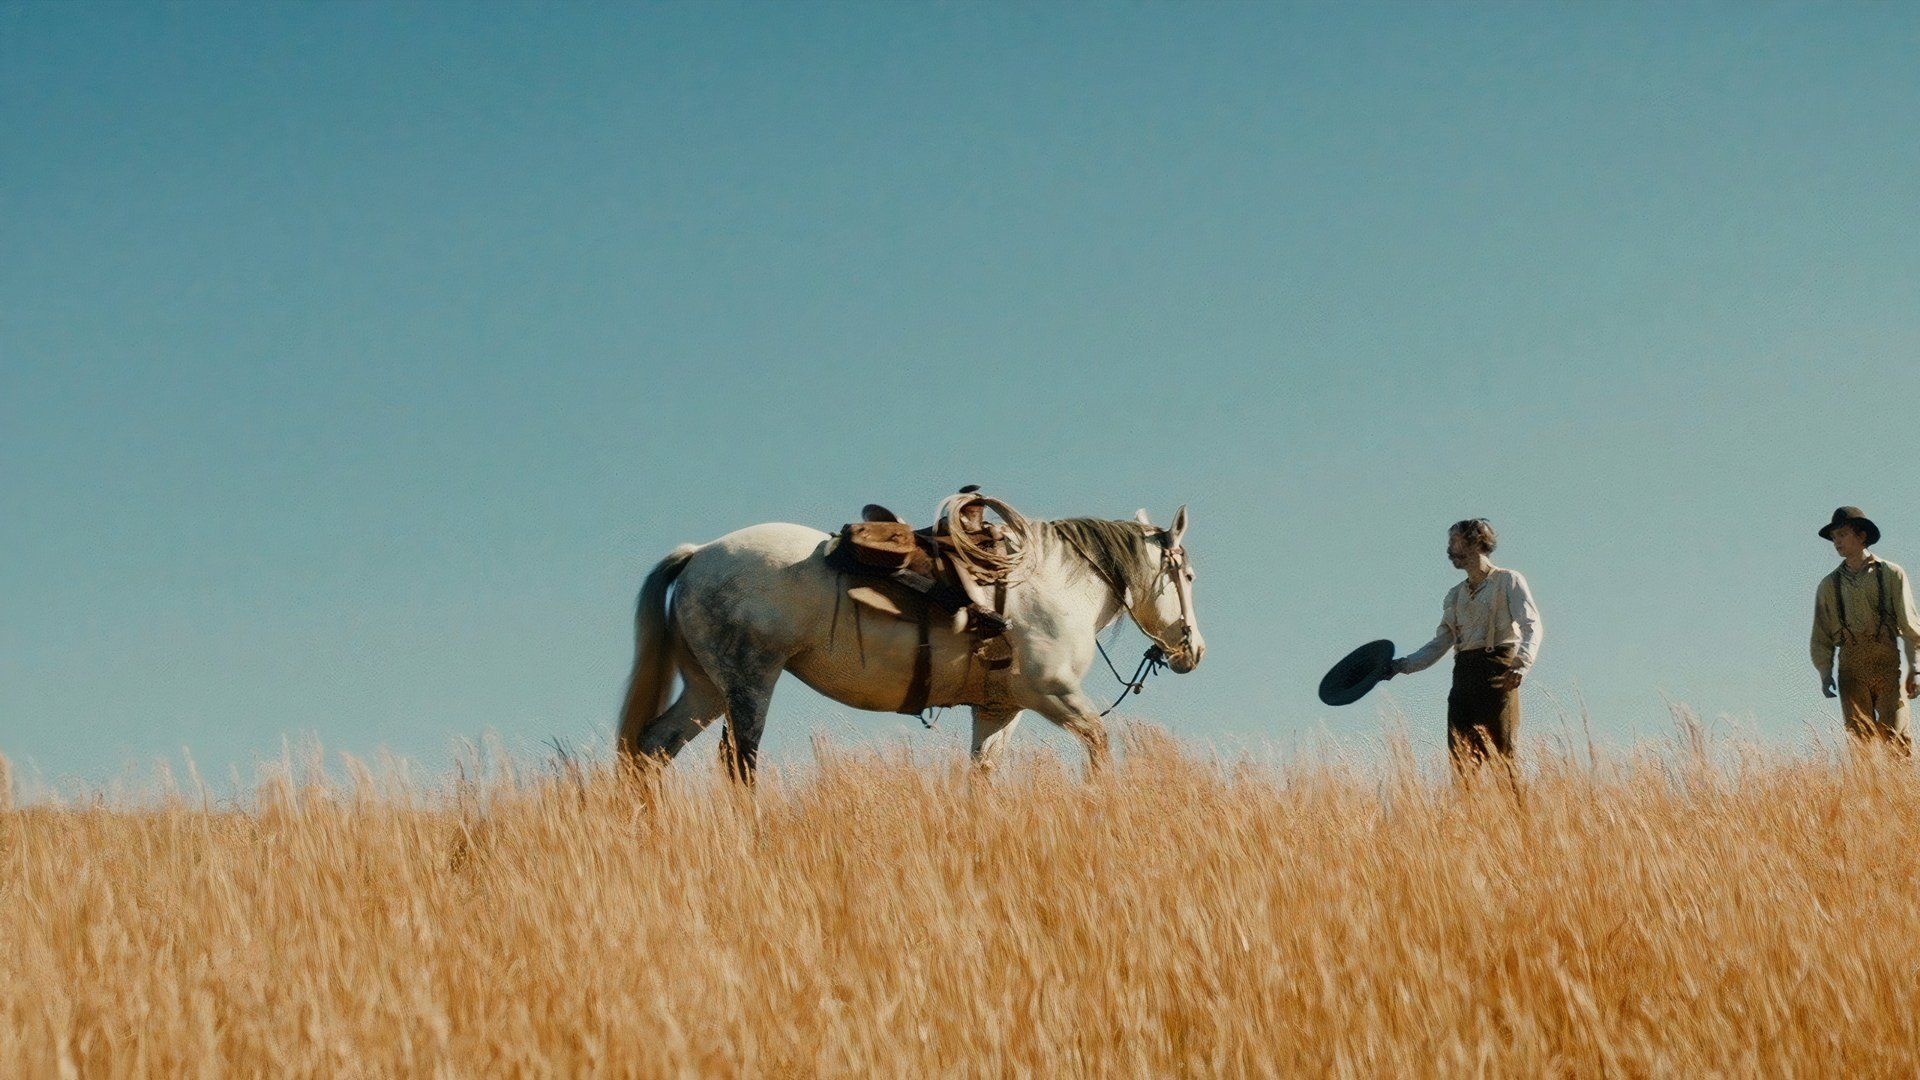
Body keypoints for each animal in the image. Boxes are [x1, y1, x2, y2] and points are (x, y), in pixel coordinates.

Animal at [614, 499, 1205, 776]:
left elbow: (980, 776)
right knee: (739, 763)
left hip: (706, 688)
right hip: (748, 681)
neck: (1054, 584)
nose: (1193, 650)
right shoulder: (1052, 693)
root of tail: (699, 555)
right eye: (1190, 576)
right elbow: (1100, 745)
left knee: (651, 748)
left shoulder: (999, 709)